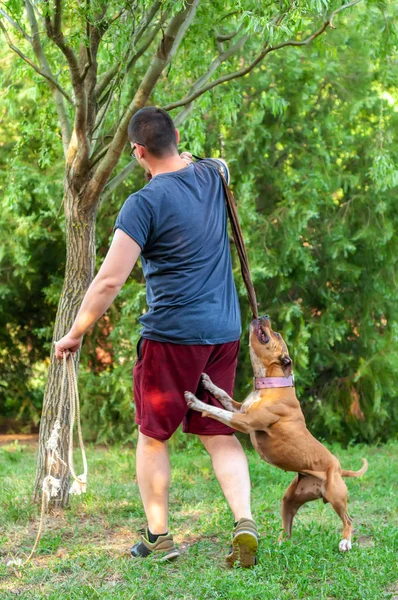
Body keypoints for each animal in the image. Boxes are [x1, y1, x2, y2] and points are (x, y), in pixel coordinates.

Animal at [185, 316, 368, 552]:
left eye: (277, 334)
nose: (264, 317)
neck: (272, 384)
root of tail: (338, 468)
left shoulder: (244, 421)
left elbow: (218, 411)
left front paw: (197, 402)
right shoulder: (240, 409)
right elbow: (223, 395)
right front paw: (208, 384)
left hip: (336, 495)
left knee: (348, 519)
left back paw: (345, 541)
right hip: (289, 499)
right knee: (288, 528)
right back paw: (280, 544)